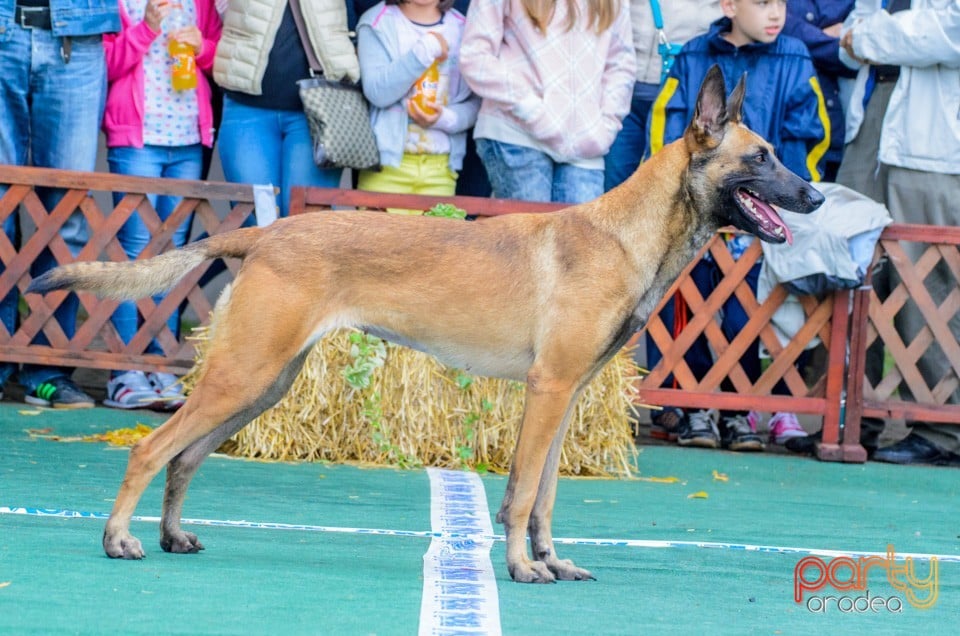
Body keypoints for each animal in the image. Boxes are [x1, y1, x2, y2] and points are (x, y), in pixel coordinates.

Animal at [26, 68, 820, 580]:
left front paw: (550, 559)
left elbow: (545, 497)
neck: (625, 234)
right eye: (761, 158)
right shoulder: (547, 391)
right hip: (242, 375)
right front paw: (521, 568)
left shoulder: (567, 399)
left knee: (184, 458)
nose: (815, 194)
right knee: (149, 450)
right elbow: (521, 494)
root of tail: (266, 232)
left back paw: (171, 536)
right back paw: (118, 540)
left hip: (262, 384)